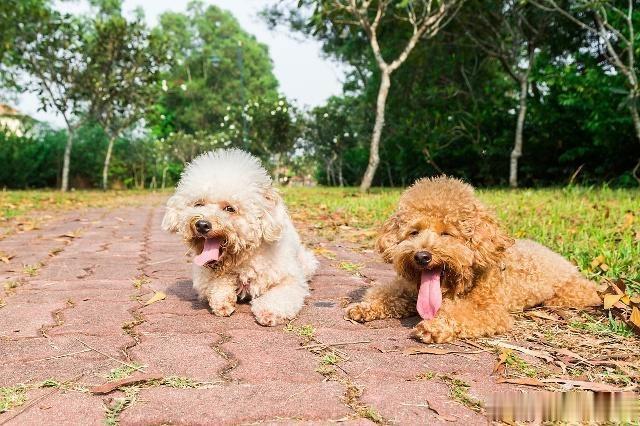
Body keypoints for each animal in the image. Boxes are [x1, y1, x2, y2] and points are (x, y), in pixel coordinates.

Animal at [162, 148, 318, 324]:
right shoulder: (203, 276)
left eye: (230, 208)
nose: (202, 224)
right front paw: (223, 301)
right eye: (198, 204)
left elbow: (281, 295)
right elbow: (217, 283)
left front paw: (268, 310)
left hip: (306, 262)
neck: (243, 258)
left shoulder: (289, 279)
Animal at [344, 176, 600, 342]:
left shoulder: (488, 309)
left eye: (447, 233)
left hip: (570, 292)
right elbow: (387, 294)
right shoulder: (408, 290)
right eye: (413, 232)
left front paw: (435, 326)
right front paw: (365, 307)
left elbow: (462, 313)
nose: (422, 256)